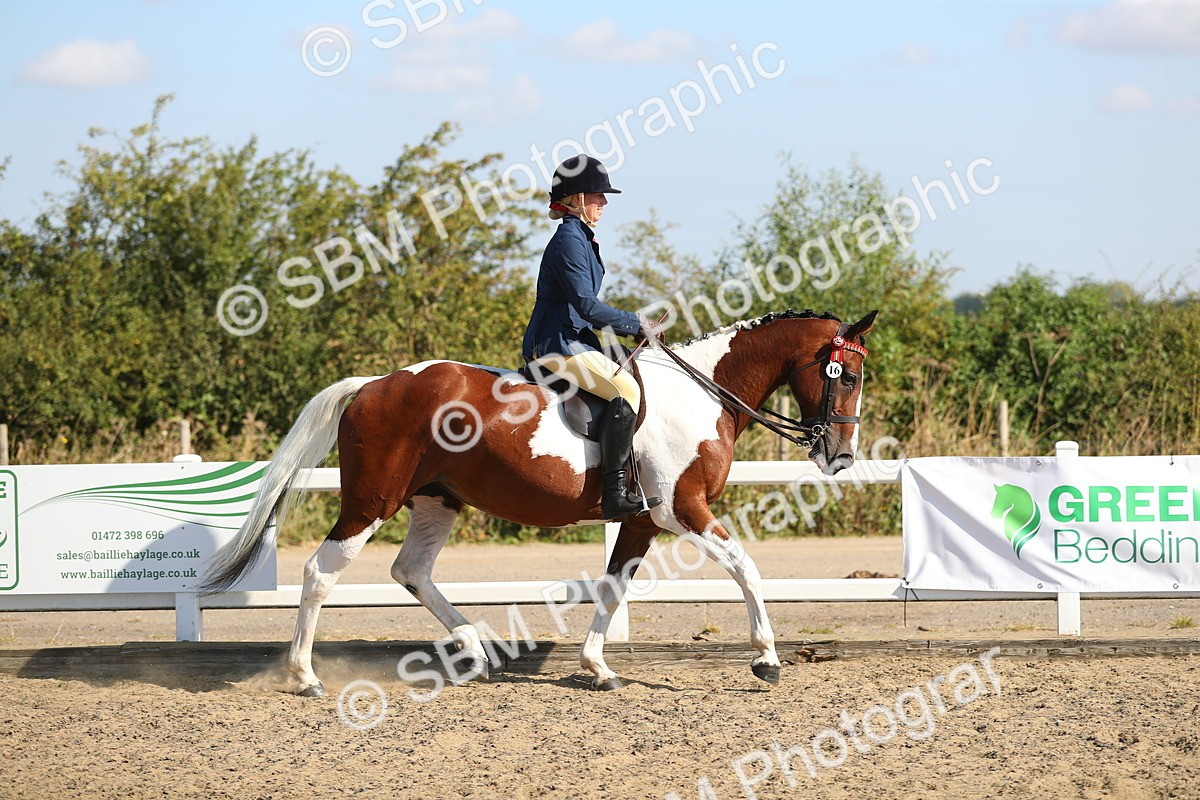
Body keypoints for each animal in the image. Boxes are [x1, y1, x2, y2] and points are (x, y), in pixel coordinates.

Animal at [203, 308, 877, 694]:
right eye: (844, 375)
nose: (840, 457)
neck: (701, 391)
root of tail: (373, 384)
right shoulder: (680, 509)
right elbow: (747, 568)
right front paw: (767, 659)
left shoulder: (642, 520)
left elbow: (613, 586)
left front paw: (597, 667)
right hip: (372, 502)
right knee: (323, 572)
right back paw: (305, 676)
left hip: (437, 501)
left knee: (411, 570)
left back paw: (474, 650)